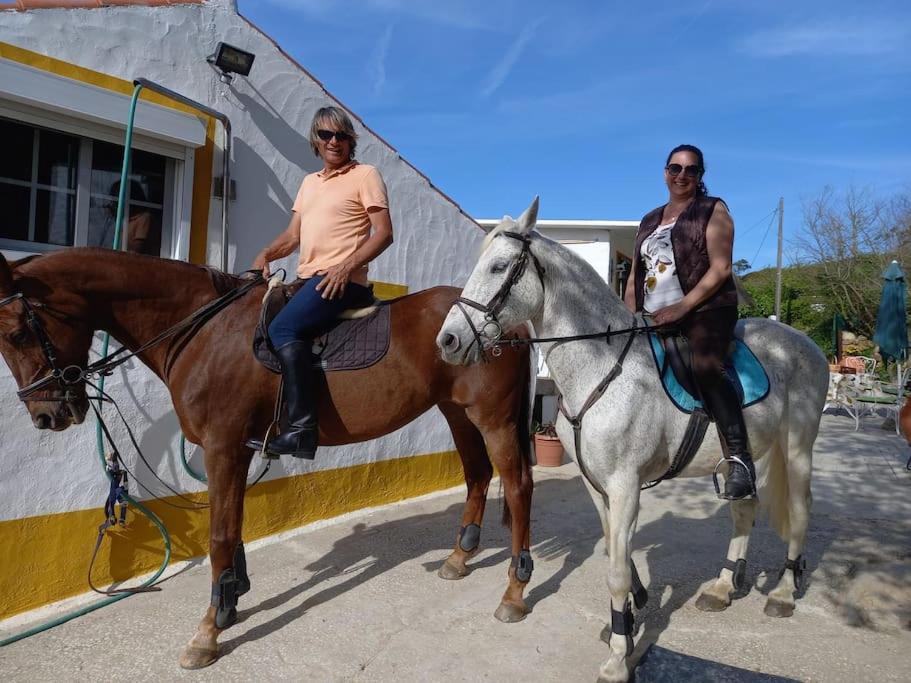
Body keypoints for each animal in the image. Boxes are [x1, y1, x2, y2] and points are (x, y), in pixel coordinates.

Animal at [0, 246, 536, 668]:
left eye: (16, 333)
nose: (46, 416)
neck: (205, 330)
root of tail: (505, 319)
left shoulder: (221, 445)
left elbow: (219, 535)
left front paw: (208, 632)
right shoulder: (234, 449)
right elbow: (233, 526)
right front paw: (231, 600)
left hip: (491, 417)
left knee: (517, 486)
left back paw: (514, 591)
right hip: (457, 412)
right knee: (478, 475)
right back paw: (459, 558)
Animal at [438, 199, 832, 683]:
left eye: (497, 267)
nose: (447, 341)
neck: (601, 366)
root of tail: (803, 342)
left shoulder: (625, 486)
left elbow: (617, 572)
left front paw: (616, 658)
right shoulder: (596, 485)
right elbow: (615, 552)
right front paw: (622, 625)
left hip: (797, 447)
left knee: (798, 509)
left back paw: (782, 592)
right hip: (742, 453)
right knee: (744, 507)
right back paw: (721, 588)